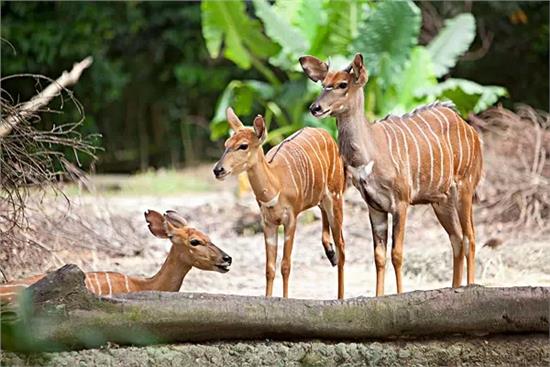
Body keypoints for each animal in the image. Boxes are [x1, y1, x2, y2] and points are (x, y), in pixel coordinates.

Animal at [213, 108, 348, 300]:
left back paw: (340, 295)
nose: (218, 170)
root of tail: (327, 134)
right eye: (226, 143)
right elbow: (269, 268)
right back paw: (330, 254)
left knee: (342, 245)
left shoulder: (290, 220)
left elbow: (285, 265)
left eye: (243, 145)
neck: (276, 183)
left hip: (336, 196)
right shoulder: (268, 223)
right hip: (322, 197)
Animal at [302, 54, 484, 296]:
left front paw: (399, 295)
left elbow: (397, 253)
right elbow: (379, 256)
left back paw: (470, 287)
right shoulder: (375, 207)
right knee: (457, 238)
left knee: (470, 237)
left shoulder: (401, 202)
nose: (315, 107)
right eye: (323, 84)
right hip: (441, 200)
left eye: (343, 84)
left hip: (465, 187)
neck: (369, 154)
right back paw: (453, 288)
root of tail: (471, 130)